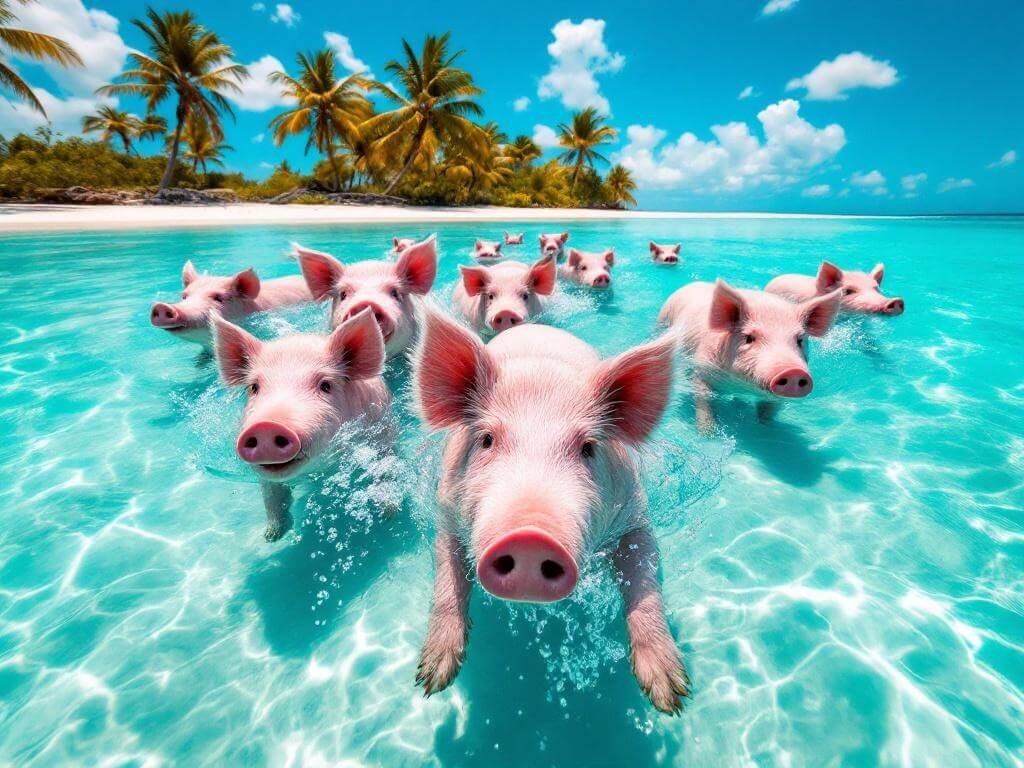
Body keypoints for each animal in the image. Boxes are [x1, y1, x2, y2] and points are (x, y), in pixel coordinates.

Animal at [211, 309, 390, 541]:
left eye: (326, 385)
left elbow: (383, 470)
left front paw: (388, 514)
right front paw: (271, 536)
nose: (267, 425)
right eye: (254, 387)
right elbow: (273, 495)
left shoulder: (381, 436)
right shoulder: (266, 477)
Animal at [412, 310, 689, 714]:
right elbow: (448, 584)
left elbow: (644, 583)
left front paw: (671, 696)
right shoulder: (447, 514)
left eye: (588, 447)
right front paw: (431, 679)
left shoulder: (635, 518)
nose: (530, 534)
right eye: (487, 440)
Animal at [658, 280, 841, 429]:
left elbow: (768, 411)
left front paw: (763, 428)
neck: (740, 385)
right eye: (749, 338)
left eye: (800, 340)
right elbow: (704, 401)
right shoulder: (703, 368)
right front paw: (708, 433)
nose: (793, 371)